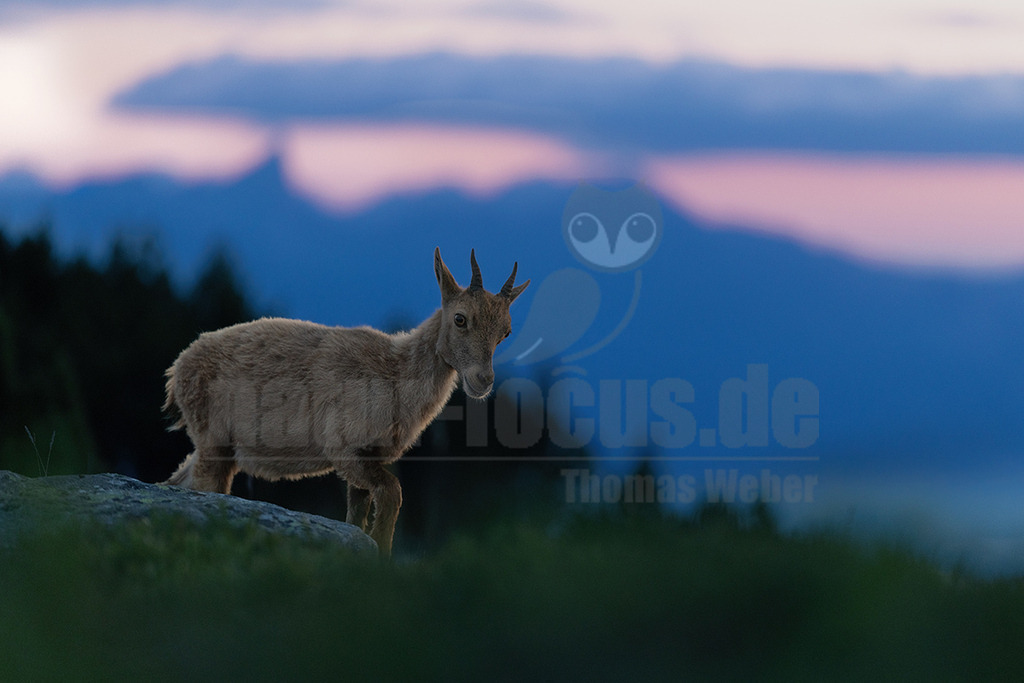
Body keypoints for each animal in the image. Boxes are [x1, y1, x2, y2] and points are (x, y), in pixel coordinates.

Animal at [161, 248, 529, 557]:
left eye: (506, 332)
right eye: (460, 318)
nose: (483, 381)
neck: (395, 375)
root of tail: (177, 371)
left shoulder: (368, 455)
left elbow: (358, 513)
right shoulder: (343, 446)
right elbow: (392, 492)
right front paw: (383, 553)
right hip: (213, 441)